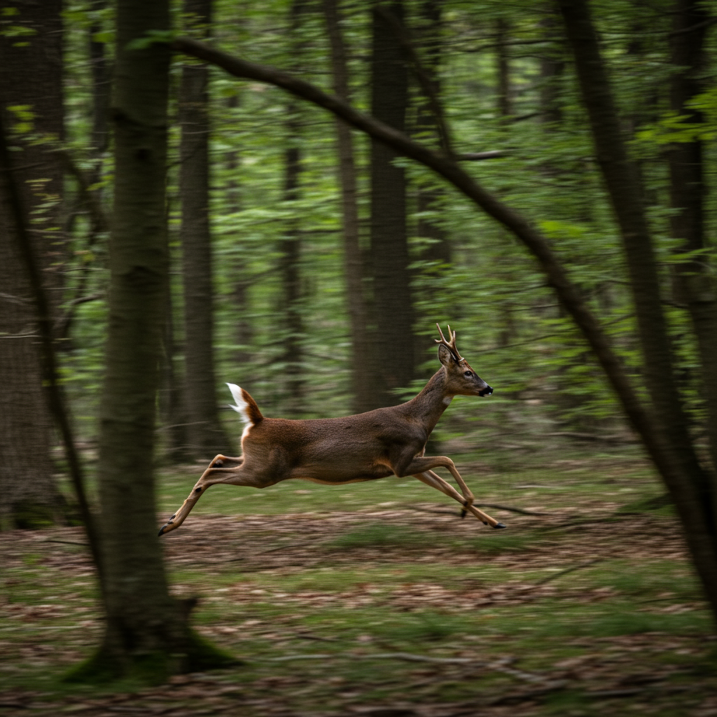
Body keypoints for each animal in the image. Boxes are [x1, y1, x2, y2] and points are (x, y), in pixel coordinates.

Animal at [157, 326, 504, 536]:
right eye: (468, 372)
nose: (489, 388)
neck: (415, 420)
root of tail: (257, 420)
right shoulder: (400, 461)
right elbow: (449, 461)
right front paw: (470, 507)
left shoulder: (411, 462)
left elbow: (446, 487)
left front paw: (493, 521)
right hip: (264, 471)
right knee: (214, 473)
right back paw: (170, 525)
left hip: (254, 461)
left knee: (216, 458)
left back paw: (170, 521)